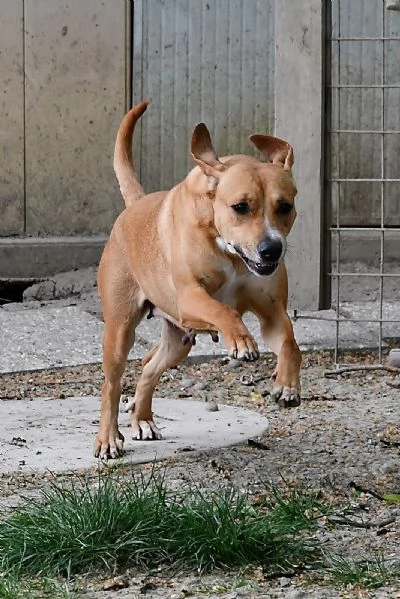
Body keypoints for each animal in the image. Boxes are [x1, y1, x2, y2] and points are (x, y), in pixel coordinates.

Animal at [94, 102, 300, 460]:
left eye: (284, 206)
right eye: (240, 207)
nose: (272, 248)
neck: (231, 254)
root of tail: (135, 206)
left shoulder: (273, 313)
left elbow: (288, 341)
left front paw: (287, 385)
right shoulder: (191, 298)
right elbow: (222, 310)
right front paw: (241, 340)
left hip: (178, 342)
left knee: (149, 367)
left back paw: (142, 418)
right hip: (120, 332)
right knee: (111, 385)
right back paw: (108, 438)